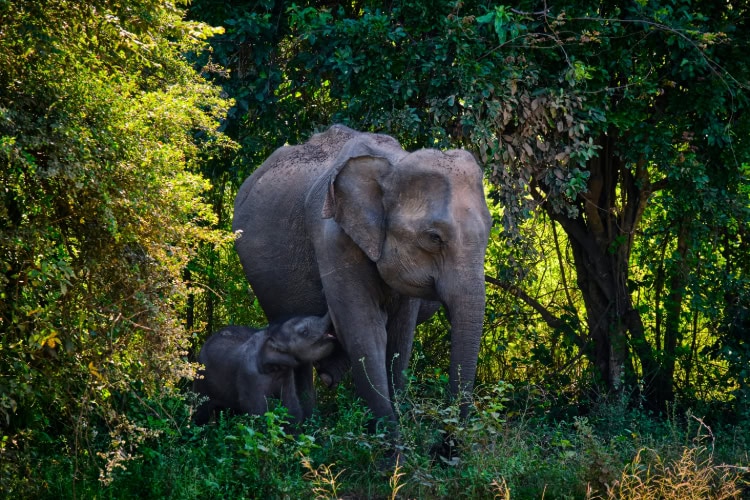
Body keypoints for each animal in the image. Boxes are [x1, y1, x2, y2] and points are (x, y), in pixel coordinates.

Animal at [192, 313, 336, 425]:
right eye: (304, 332)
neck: (270, 334)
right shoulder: (249, 376)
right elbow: (259, 410)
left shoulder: (286, 373)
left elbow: (291, 406)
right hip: (201, 380)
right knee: (201, 411)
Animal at [232, 124, 492, 429]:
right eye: (434, 237)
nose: (450, 435)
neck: (393, 163)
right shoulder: (333, 238)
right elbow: (365, 329)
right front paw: (390, 436)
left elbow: (400, 334)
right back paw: (307, 424)